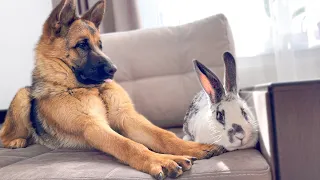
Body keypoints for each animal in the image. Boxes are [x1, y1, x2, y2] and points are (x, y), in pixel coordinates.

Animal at [0, 0, 225, 179]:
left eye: (100, 45)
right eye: (82, 45)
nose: (113, 69)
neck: (90, 89)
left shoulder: (127, 117)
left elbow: (163, 136)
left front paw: (194, 147)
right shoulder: (93, 127)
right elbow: (130, 145)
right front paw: (161, 160)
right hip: (22, 95)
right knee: (4, 133)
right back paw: (16, 140)